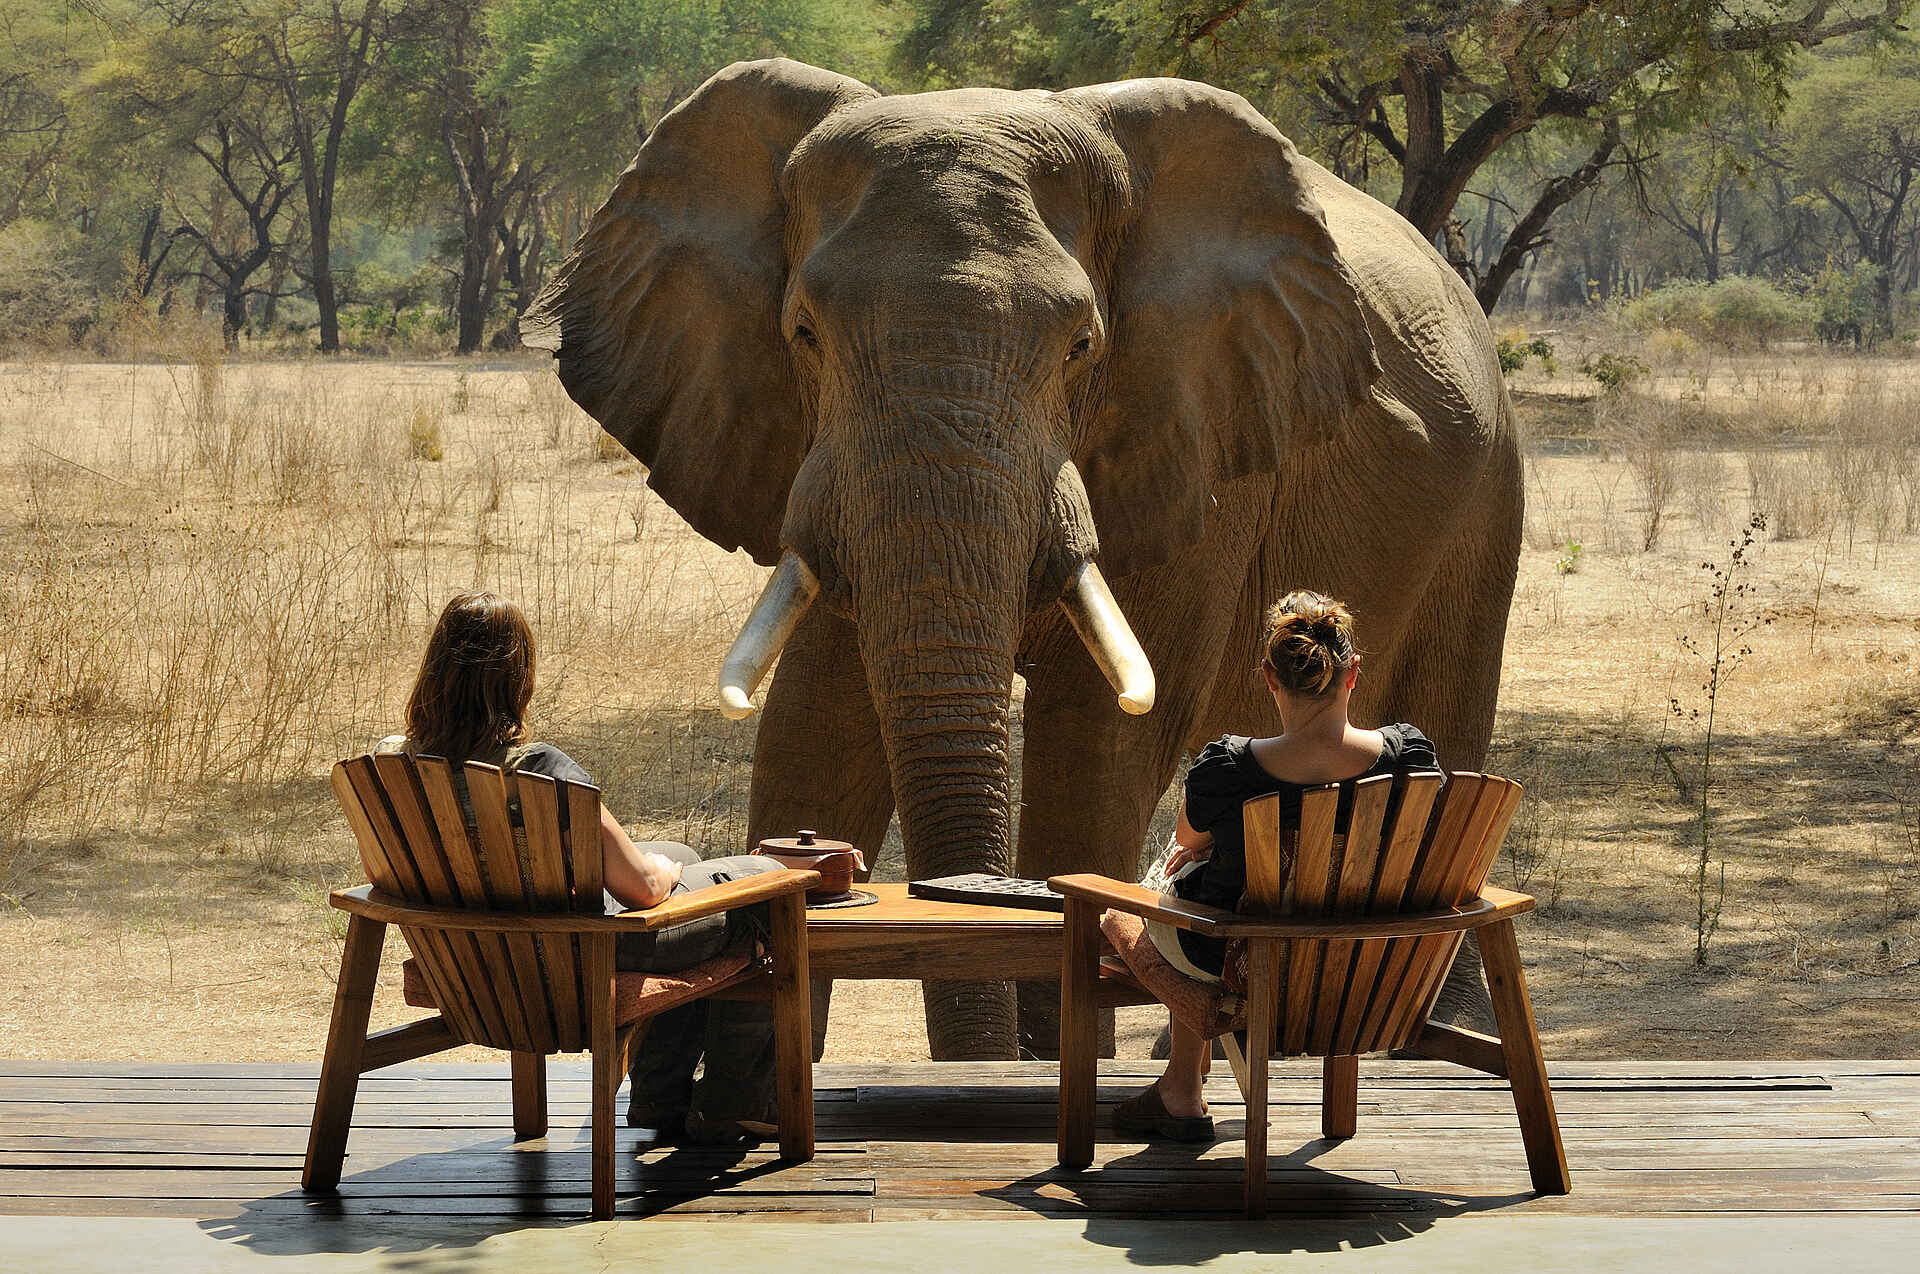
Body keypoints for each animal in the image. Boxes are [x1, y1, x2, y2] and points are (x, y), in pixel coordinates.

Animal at [523, 59, 1522, 1061]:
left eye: (1081, 345)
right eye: (804, 333)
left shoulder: (1196, 430)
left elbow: (1102, 737)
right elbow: (820, 718)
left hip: (1489, 495)